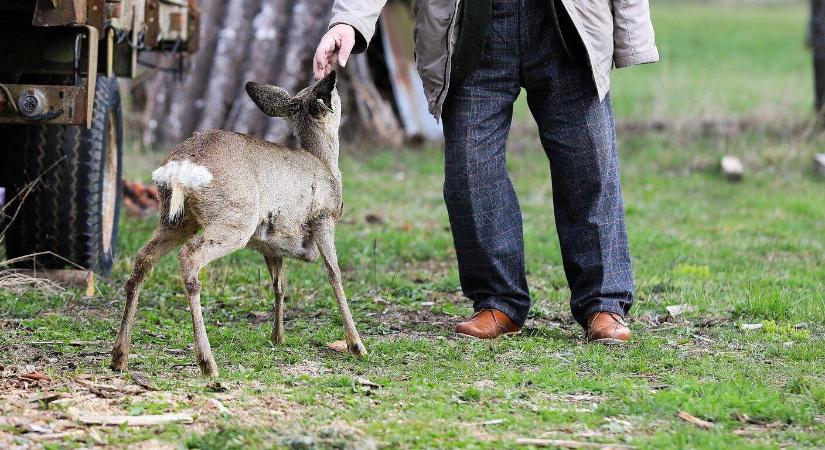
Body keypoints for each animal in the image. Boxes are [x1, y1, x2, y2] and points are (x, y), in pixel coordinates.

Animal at [110, 73, 366, 376]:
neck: (326, 165)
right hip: (235, 219)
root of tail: (181, 167)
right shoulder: (323, 217)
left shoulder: (270, 243)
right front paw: (356, 345)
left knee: (143, 260)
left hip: (175, 219)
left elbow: (279, 284)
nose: (334, 80)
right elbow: (334, 274)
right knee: (189, 256)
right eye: (334, 92)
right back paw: (208, 364)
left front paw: (278, 336)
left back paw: (119, 356)